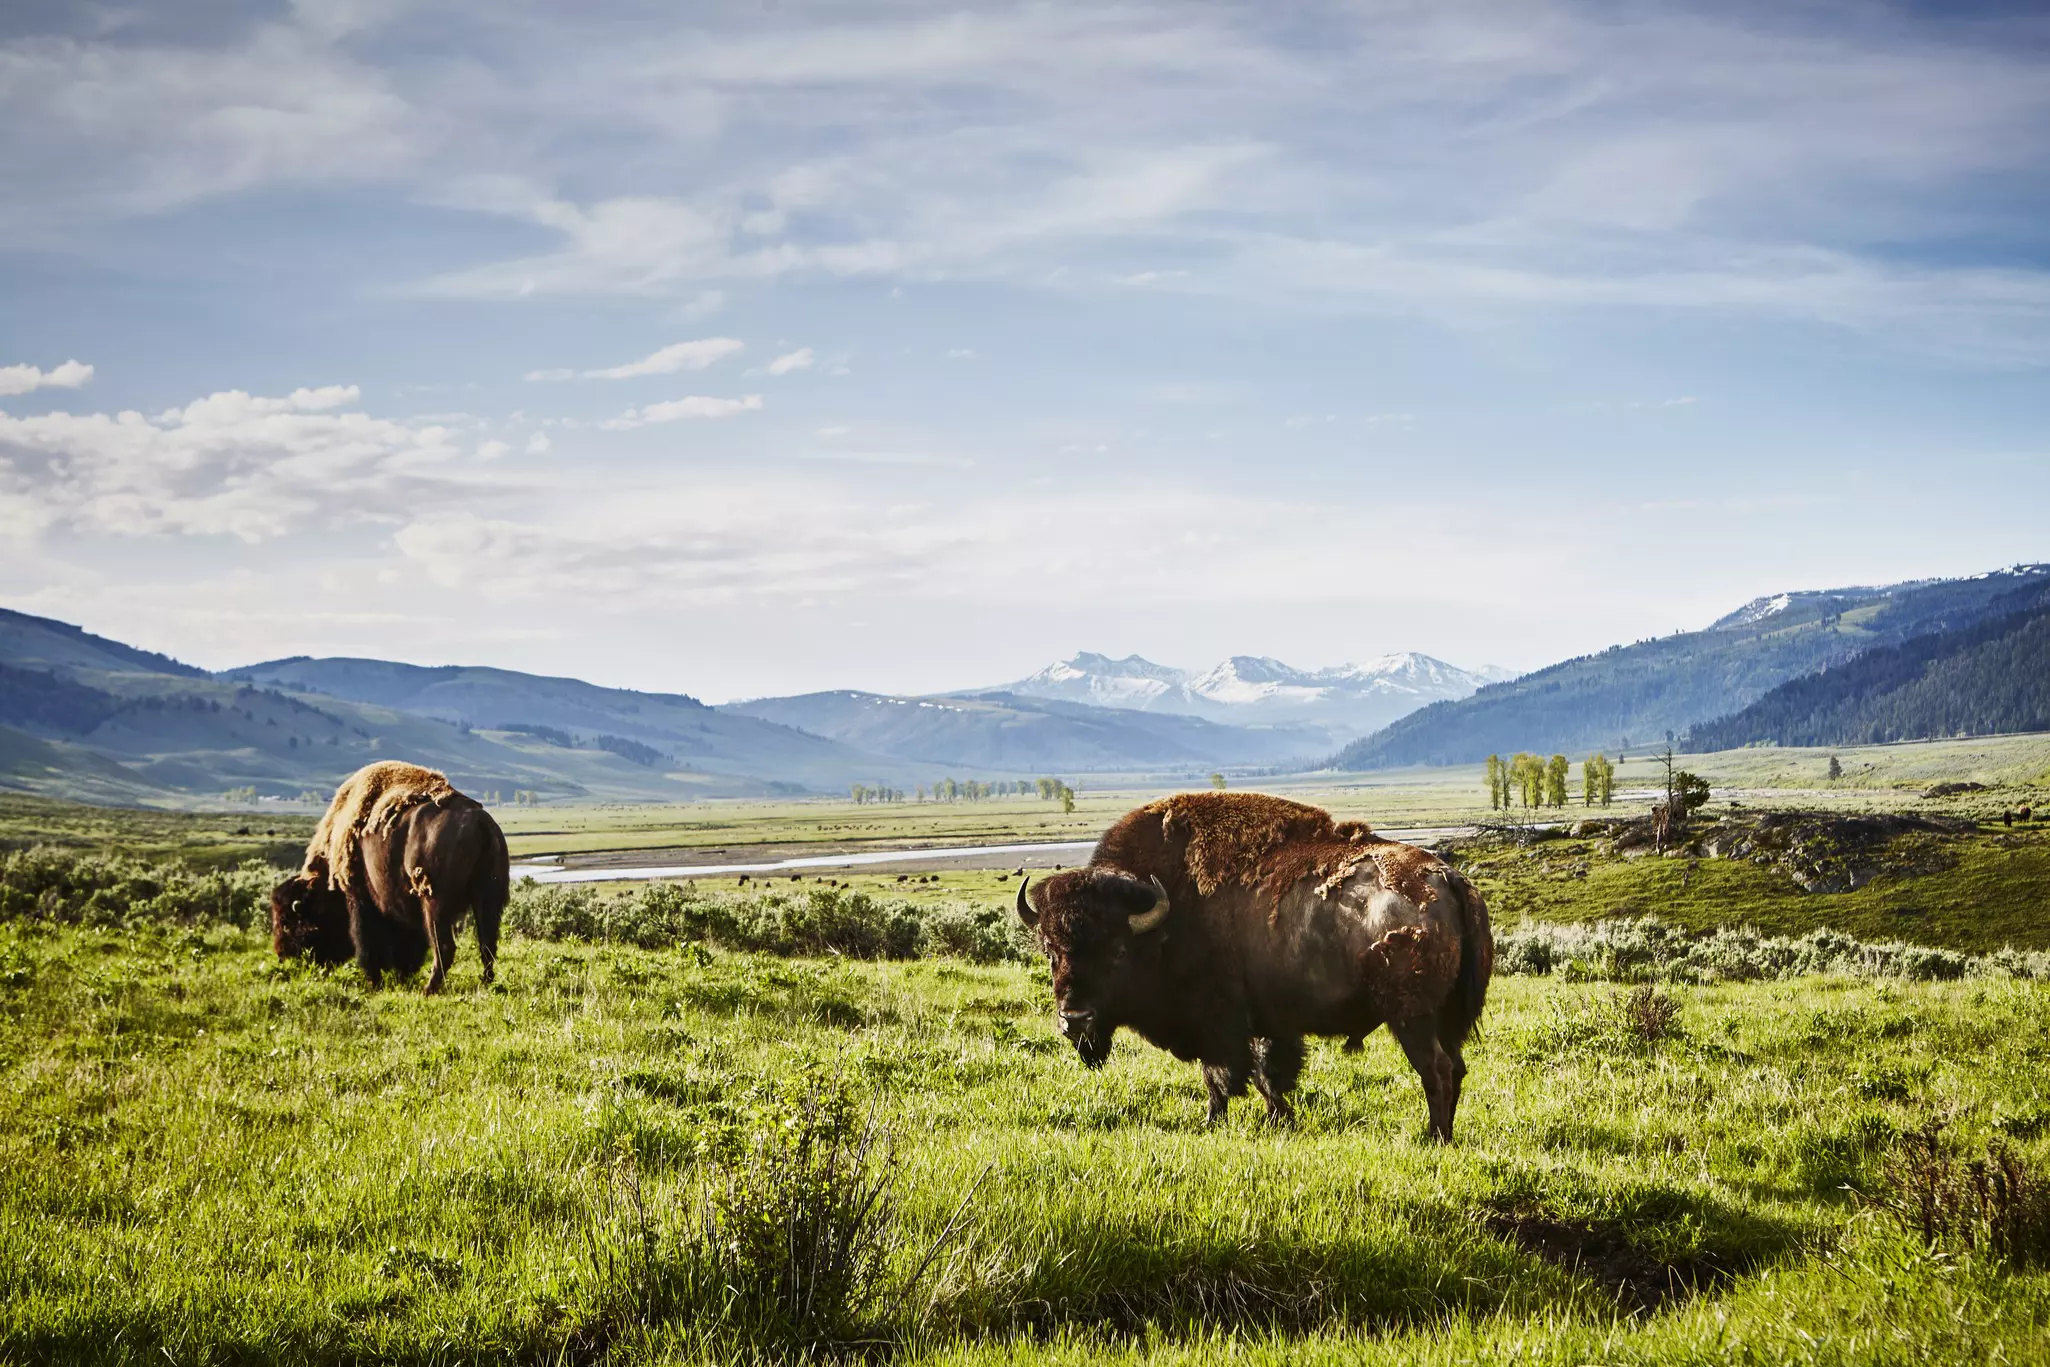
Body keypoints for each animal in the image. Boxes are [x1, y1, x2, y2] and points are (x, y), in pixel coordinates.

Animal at [1016, 791, 1492, 1142]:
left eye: (1116, 951)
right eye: (1050, 951)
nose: (1075, 1019)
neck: (1164, 916)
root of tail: (1448, 877)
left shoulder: (1219, 1023)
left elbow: (1222, 1076)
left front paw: (1212, 1123)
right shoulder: (1267, 1023)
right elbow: (1268, 1075)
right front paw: (1281, 1120)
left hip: (1412, 1017)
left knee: (1436, 1069)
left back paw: (1432, 1137)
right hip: (1444, 1018)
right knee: (1456, 1066)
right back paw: (1444, 1134)